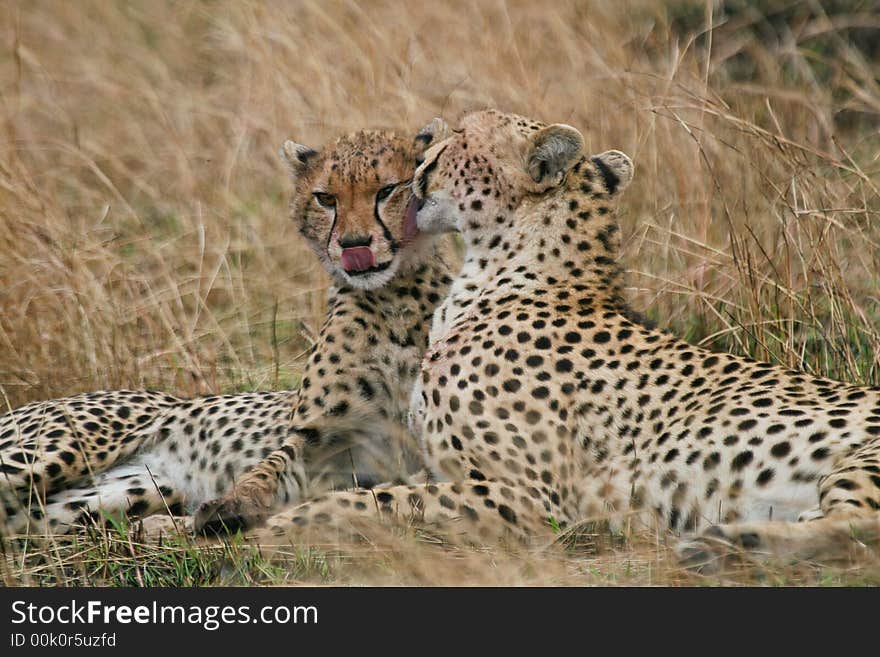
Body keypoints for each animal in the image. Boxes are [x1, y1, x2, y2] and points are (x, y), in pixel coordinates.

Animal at [0, 120, 454, 536]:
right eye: (326, 198)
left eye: (387, 190)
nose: (353, 245)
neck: (392, 298)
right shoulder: (313, 437)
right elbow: (271, 467)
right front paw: (233, 503)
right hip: (50, 453)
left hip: (112, 495)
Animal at [246, 107, 880, 568]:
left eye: (456, 141)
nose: (420, 155)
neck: (507, 268)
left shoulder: (531, 495)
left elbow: (374, 500)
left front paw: (268, 531)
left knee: (859, 532)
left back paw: (731, 542)